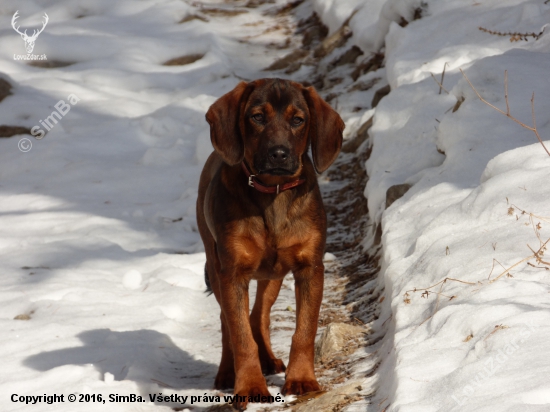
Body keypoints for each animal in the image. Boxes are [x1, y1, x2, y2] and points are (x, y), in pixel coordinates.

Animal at [197, 77, 344, 408]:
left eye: (298, 120)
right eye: (257, 117)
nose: (279, 154)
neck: (273, 194)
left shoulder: (310, 268)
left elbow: (304, 330)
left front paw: (301, 379)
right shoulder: (233, 272)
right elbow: (240, 337)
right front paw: (250, 386)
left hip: (274, 274)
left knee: (259, 314)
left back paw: (269, 359)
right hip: (215, 262)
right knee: (228, 320)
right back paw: (227, 372)